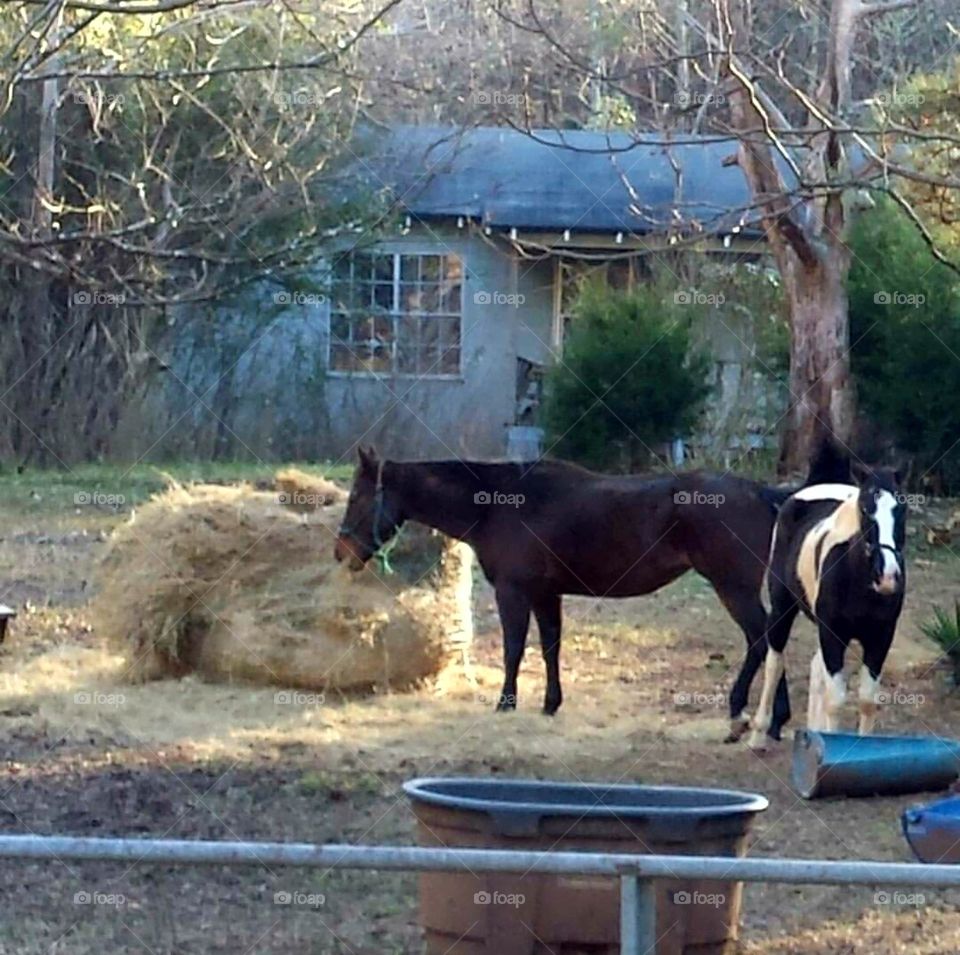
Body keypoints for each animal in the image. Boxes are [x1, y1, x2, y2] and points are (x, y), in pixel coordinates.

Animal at [334, 448, 792, 740]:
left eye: (357, 495)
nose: (341, 552)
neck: (498, 505)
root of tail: (762, 493)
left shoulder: (514, 593)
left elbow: (514, 650)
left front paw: (506, 703)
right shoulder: (545, 595)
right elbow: (550, 648)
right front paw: (550, 703)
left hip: (733, 588)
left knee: (760, 641)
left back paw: (740, 712)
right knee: (771, 641)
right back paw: (775, 721)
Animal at [752, 444, 908, 752]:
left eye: (902, 508)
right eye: (865, 509)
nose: (887, 576)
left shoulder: (881, 636)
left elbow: (867, 701)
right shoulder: (833, 633)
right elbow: (836, 700)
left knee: (816, 669)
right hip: (782, 609)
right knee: (775, 662)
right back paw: (758, 735)